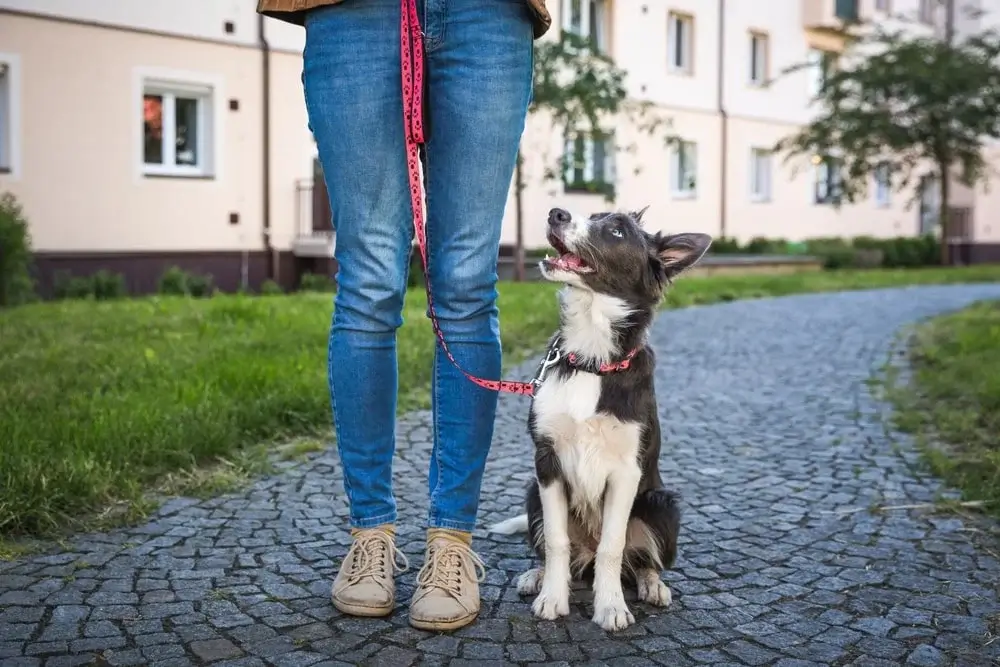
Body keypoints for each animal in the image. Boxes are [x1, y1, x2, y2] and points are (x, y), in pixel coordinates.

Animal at [490, 206, 712, 636]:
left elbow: (613, 545)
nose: (556, 213)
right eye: (593, 214)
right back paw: (537, 576)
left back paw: (652, 585)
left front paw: (610, 606)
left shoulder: (626, 471)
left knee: (638, 560)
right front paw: (553, 597)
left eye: (617, 231)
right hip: (532, 492)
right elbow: (556, 541)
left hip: (662, 504)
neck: (591, 359)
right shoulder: (547, 461)